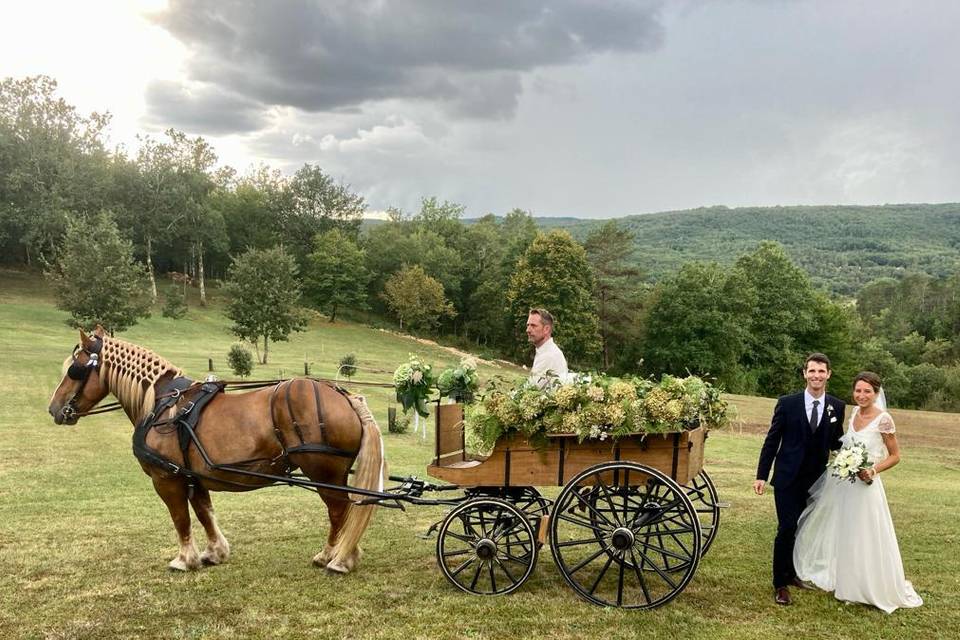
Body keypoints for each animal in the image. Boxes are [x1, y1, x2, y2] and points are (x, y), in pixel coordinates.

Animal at [44, 328, 382, 572]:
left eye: (74, 370)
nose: (54, 409)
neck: (161, 405)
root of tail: (345, 395)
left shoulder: (167, 479)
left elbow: (180, 518)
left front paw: (185, 559)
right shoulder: (193, 475)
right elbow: (204, 513)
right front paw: (215, 553)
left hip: (323, 471)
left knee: (339, 511)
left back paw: (336, 557)